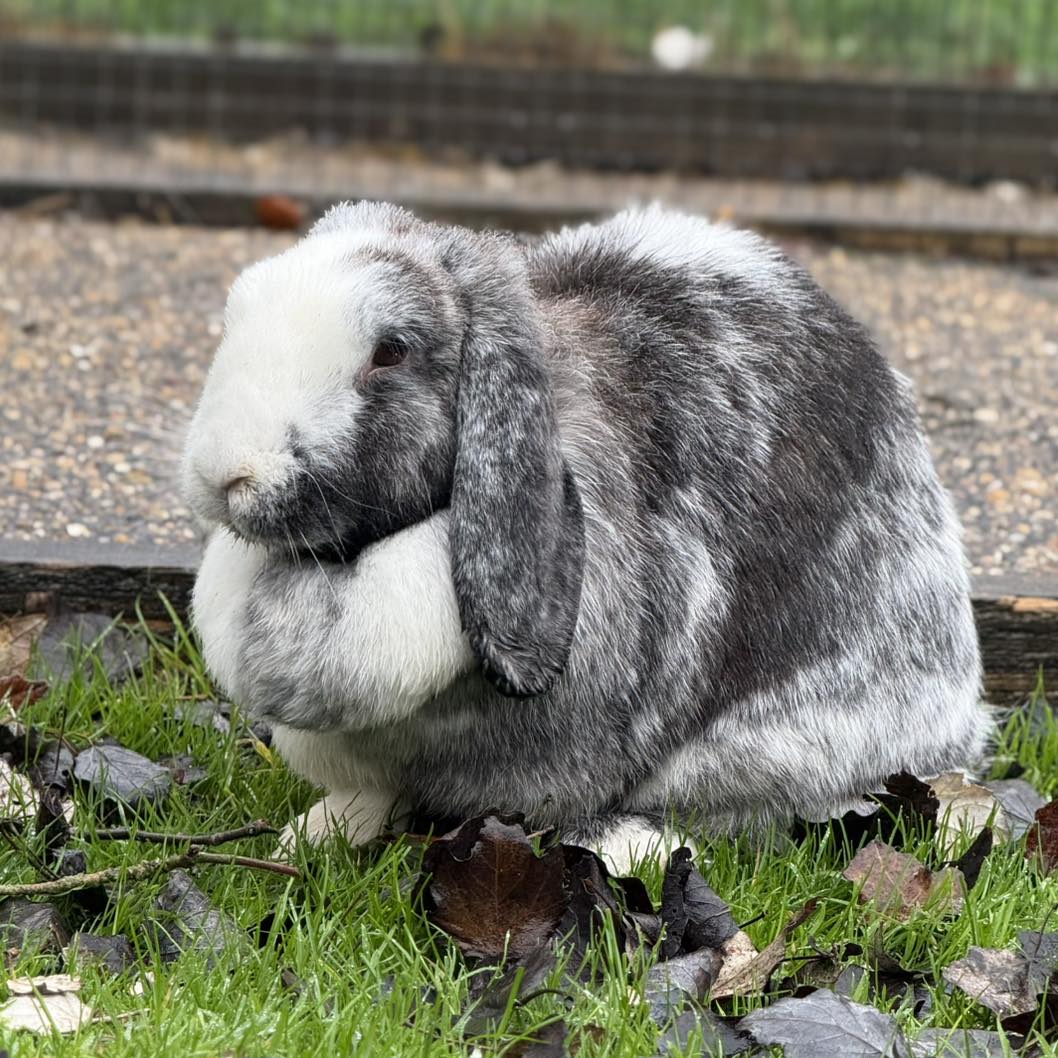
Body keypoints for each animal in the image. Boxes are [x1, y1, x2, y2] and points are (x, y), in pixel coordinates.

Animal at [182, 201, 990, 871]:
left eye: (392, 351)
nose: (226, 471)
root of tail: (960, 719)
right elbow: (371, 796)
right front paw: (316, 834)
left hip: (781, 748)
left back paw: (632, 846)